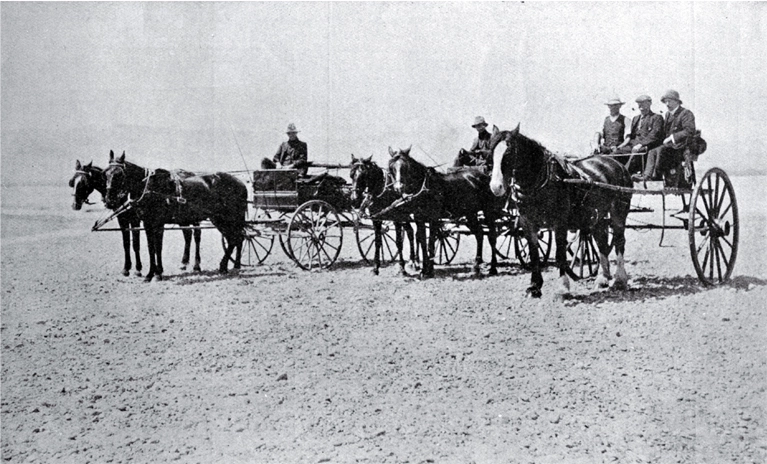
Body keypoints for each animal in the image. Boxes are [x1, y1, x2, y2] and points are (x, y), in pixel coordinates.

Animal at [70, 160, 204, 276]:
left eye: (83, 182)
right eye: (72, 182)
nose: (74, 205)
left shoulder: (135, 220)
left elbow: (136, 243)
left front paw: (138, 269)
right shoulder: (122, 219)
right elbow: (126, 244)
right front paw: (126, 268)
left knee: (197, 235)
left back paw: (196, 265)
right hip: (183, 218)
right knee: (187, 234)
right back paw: (184, 263)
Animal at [103, 152, 246, 282]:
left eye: (119, 174)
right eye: (105, 173)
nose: (109, 201)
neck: (149, 187)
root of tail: (241, 183)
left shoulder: (158, 223)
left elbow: (157, 247)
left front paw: (156, 274)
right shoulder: (148, 224)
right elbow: (151, 248)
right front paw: (151, 274)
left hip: (228, 218)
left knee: (235, 238)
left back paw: (226, 265)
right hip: (221, 219)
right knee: (235, 238)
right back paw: (230, 266)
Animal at [388, 147, 500, 278]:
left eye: (405, 167)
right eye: (391, 167)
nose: (398, 188)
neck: (425, 187)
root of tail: (485, 176)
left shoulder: (433, 218)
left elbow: (431, 242)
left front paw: (429, 270)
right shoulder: (419, 219)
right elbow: (422, 241)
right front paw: (424, 270)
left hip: (488, 211)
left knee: (492, 236)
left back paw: (493, 268)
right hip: (470, 213)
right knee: (479, 234)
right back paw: (476, 267)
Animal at [488, 123, 632, 298]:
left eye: (508, 152)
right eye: (491, 152)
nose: (496, 187)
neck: (542, 181)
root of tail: (617, 164)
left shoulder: (560, 223)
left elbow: (560, 254)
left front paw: (563, 288)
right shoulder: (527, 223)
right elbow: (534, 254)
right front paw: (534, 286)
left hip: (619, 211)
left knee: (619, 241)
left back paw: (620, 280)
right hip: (598, 216)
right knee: (601, 242)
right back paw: (602, 279)